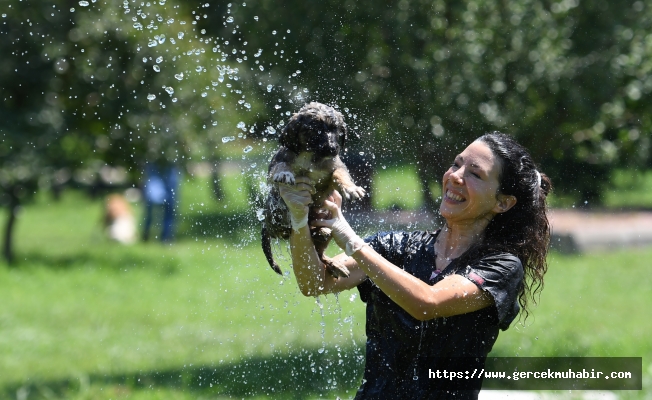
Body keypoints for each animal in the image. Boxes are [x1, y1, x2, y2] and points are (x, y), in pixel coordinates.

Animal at [262, 101, 370, 278]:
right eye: (314, 129)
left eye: (336, 129)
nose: (333, 148)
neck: (311, 156)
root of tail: (265, 222)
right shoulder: (276, 164)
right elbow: (281, 166)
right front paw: (284, 173)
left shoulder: (334, 168)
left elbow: (340, 174)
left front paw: (351, 188)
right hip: (278, 209)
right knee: (290, 230)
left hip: (325, 216)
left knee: (318, 251)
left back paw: (331, 258)